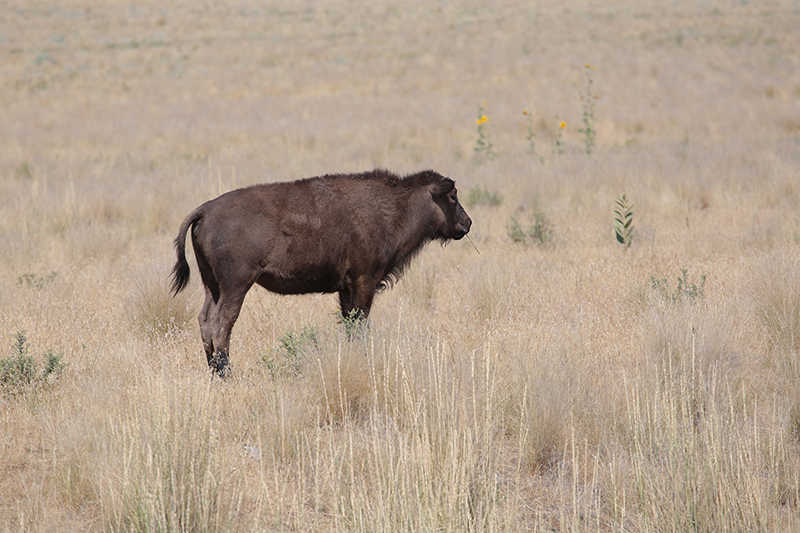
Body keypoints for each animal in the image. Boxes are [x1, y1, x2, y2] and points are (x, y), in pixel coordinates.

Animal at [171, 169, 472, 376]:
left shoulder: (346, 289)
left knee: (205, 320)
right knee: (221, 324)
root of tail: (205, 210)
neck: (395, 206)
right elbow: (360, 325)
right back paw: (228, 375)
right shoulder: (364, 282)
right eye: (453, 196)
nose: (467, 223)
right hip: (236, 285)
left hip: (212, 285)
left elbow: (351, 326)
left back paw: (214, 372)